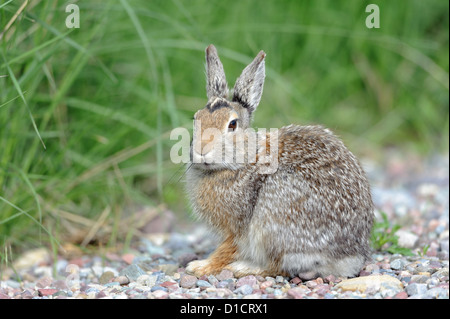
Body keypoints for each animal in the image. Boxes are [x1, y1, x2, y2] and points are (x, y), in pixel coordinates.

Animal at [185, 45, 374, 280]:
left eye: (232, 124)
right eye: (196, 118)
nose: (201, 151)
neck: (243, 161)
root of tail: (349, 258)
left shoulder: (236, 229)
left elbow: (226, 249)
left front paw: (200, 267)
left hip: (271, 222)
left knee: (278, 266)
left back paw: (244, 268)